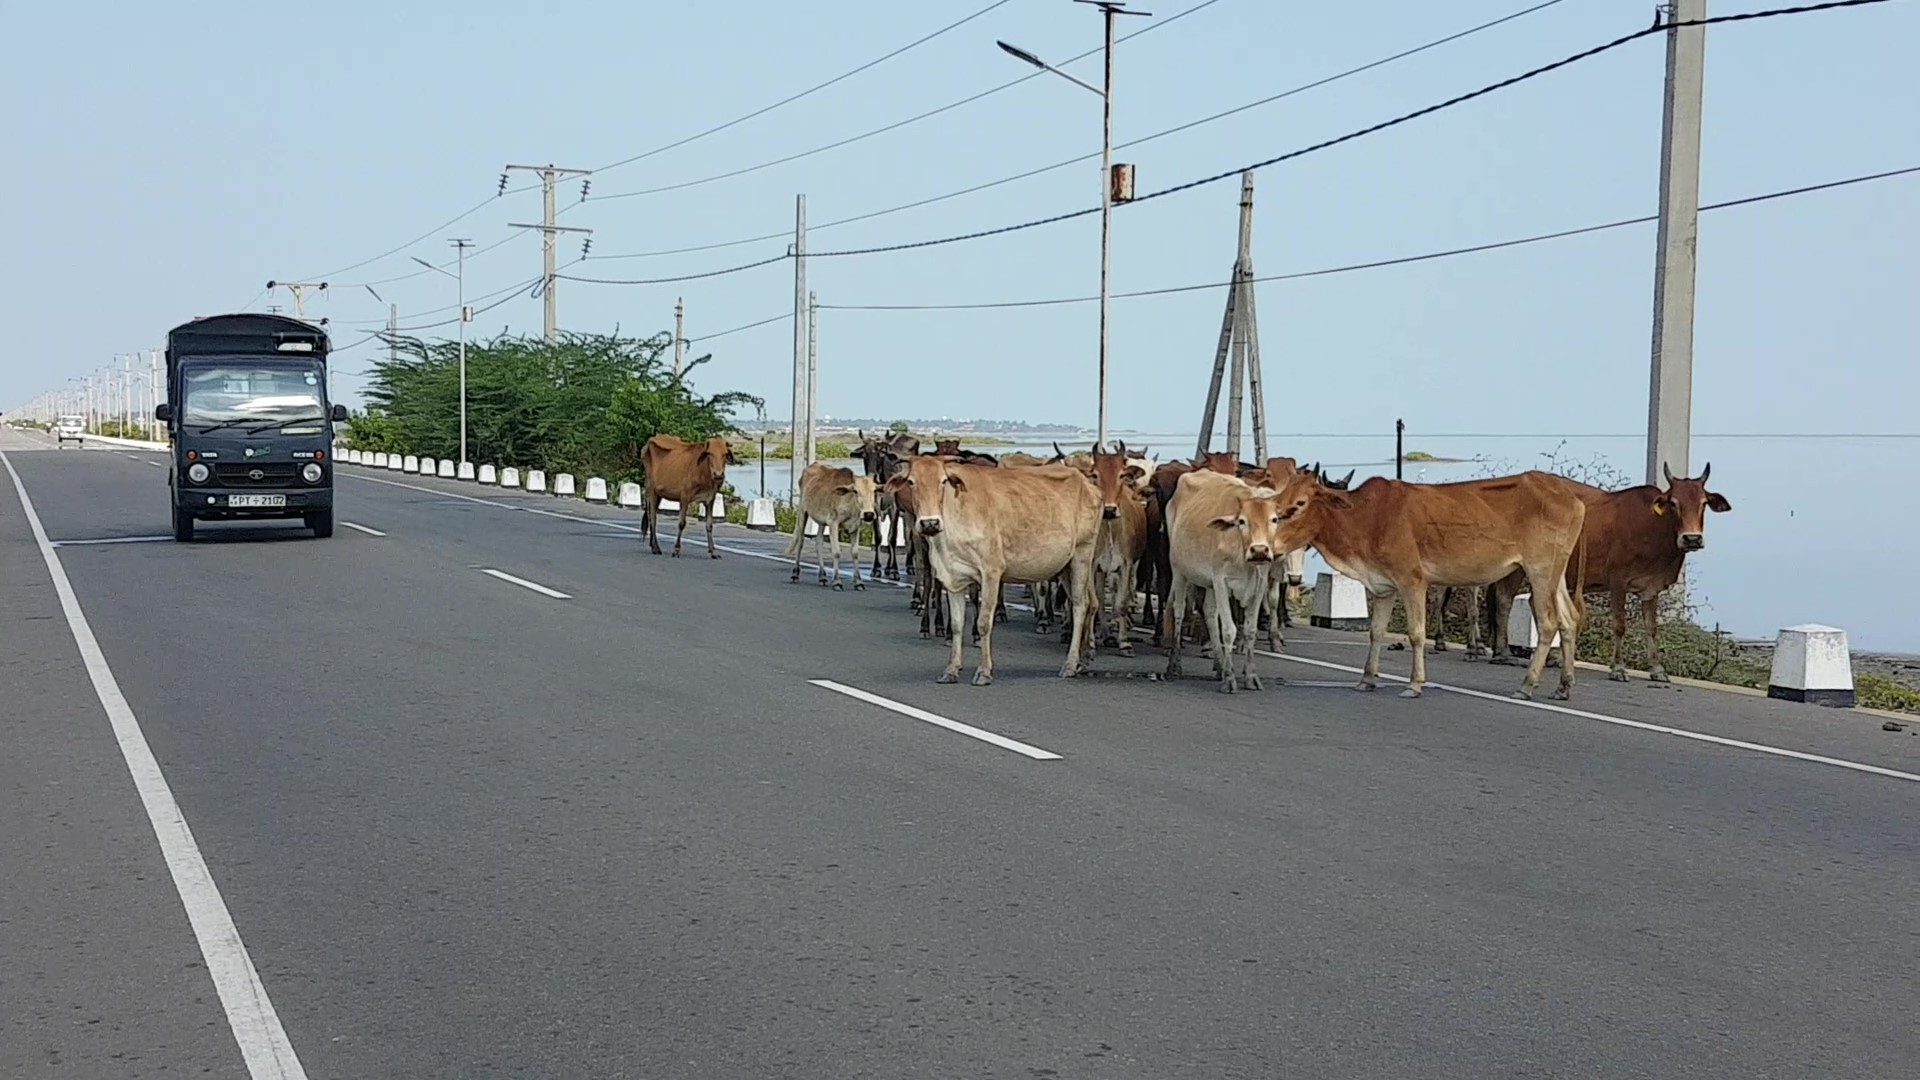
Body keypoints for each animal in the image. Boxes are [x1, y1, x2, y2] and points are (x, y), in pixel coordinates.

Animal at [879, 453, 1098, 680]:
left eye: (943, 481)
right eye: (911, 482)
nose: (930, 523)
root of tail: (1088, 484)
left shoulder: (991, 573)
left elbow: (983, 622)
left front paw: (983, 671)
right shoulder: (953, 576)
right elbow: (957, 624)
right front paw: (951, 669)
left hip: (1082, 555)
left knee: (1080, 606)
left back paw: (1070, 665)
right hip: (1064, 565)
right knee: (1089, 603)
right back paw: (1083, 661)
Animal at [1159, 468, 1282, 687]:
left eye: (1274, 519)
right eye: (1242, 521)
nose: (1259, 550)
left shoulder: (1258, 586)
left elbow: (1250, 630)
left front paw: (1249, 676)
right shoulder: (1221, 582)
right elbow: (1228, 629)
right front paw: (1230, 678)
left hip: (1208, 583)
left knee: (1209, 613)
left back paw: (1219, 664)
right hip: (1180, 571)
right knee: (1179, 610)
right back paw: (1175, 664)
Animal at [1267, 468, 1597, 699]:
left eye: (1299, 504)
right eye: (1277, 503)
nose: (1269, 546)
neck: (1367, 517)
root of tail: (1572, 496)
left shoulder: (1412, 581)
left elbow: (1416, 633)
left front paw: (1414, 684)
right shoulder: (1383, 587)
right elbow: (1376, 632)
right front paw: (1367, 680)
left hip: (1539, 571)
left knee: (1549, 623)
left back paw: (1527, 685)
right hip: (1555, 574)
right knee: (1569, 619)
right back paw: (1563, 687)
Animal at [1482, 463, 1743, 680]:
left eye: (1703, 503)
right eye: (1673, 503)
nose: (1692, 539)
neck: (1654, 529)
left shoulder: (1651, 588)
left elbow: (1652, 628)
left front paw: (1657, 670)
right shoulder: (1618, 581)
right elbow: (1619, 625)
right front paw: (1618, 668)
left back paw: (1550, 658)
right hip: (1518, 568)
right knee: (1504, 600)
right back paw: (1504, 653)